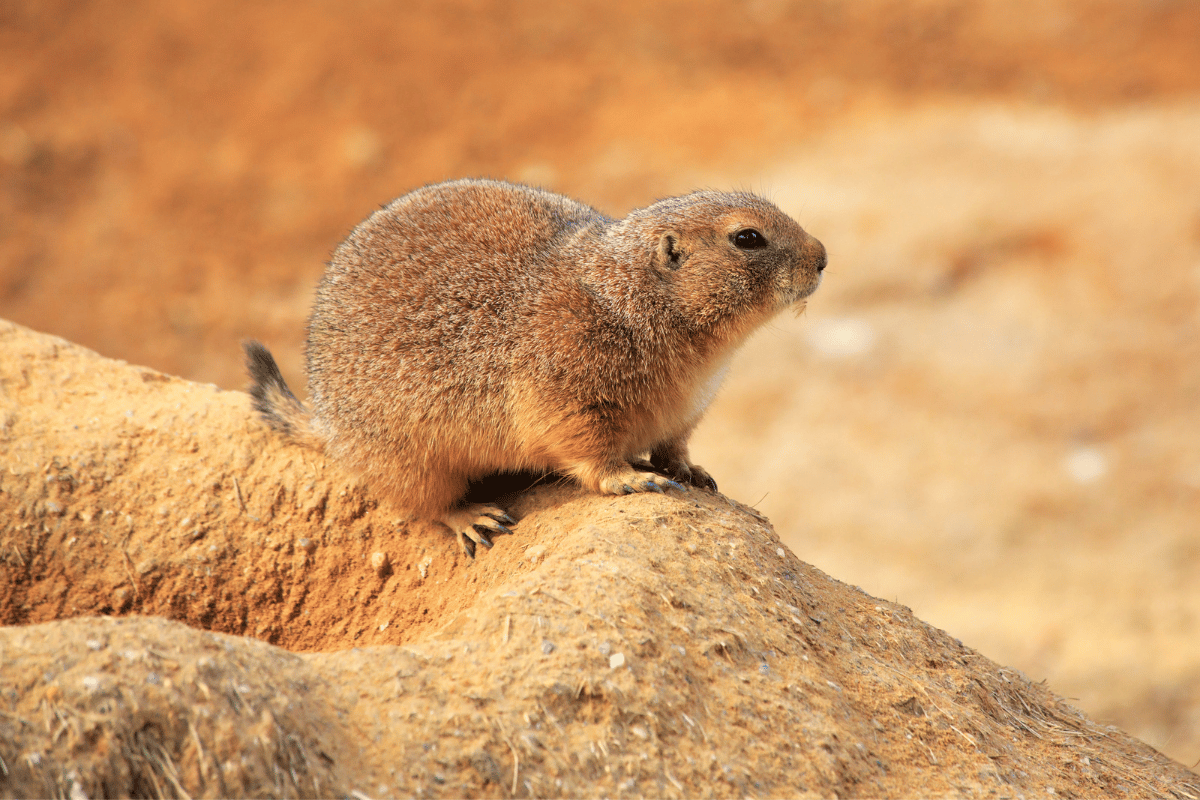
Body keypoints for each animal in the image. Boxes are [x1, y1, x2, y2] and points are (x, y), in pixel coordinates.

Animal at [243, 179, 825, 556]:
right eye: (747, 237)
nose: (823, 256)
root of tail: (325, 422)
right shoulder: (567, 386)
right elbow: (586, 448)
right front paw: (631, 480)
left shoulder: (686, 411)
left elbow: (674, 445)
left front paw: (692, 472)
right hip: (401, 455)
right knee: (425, 504)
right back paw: (473, 517)